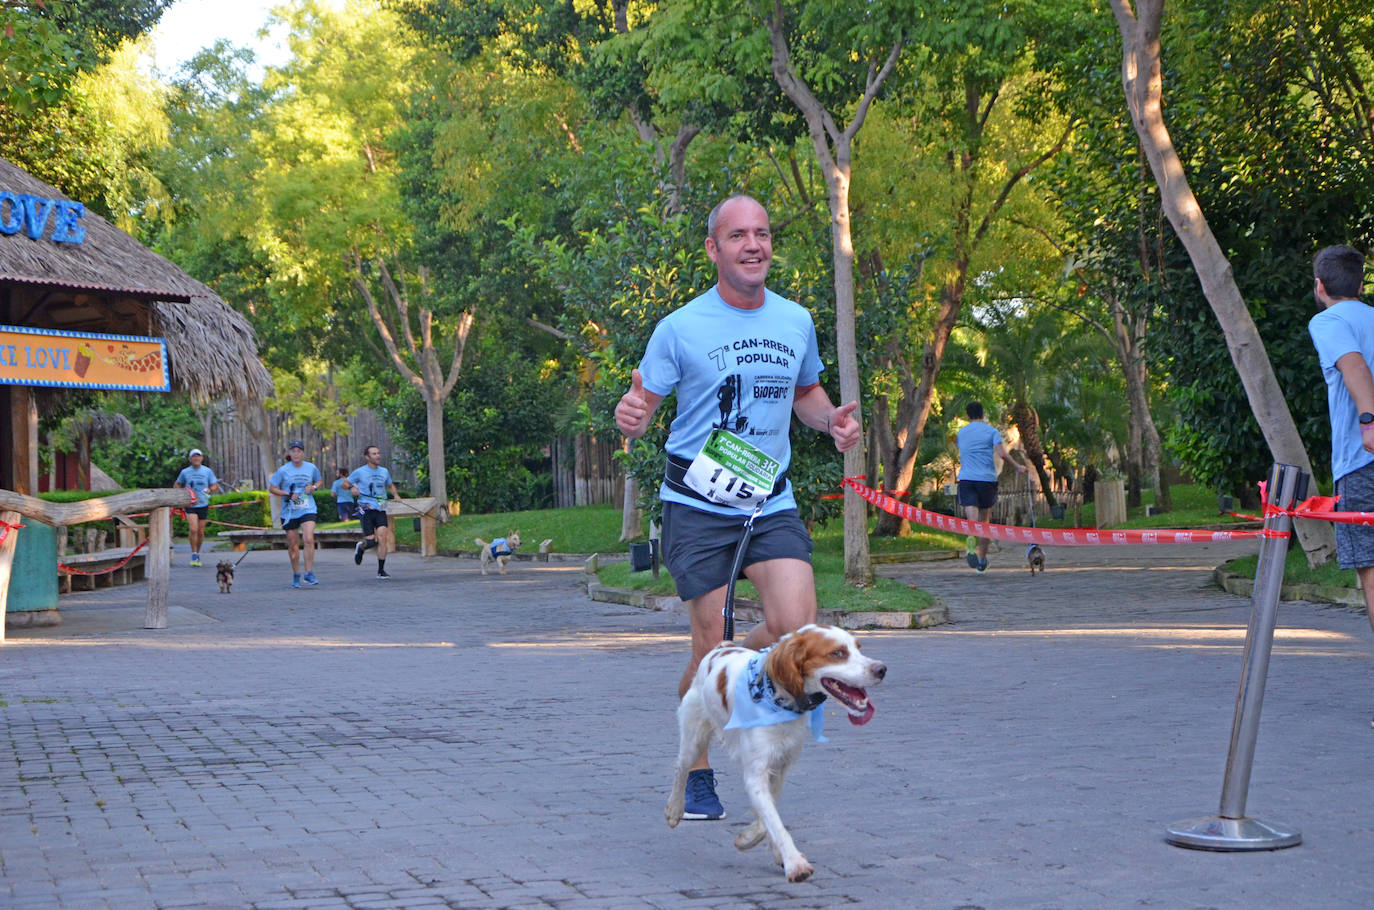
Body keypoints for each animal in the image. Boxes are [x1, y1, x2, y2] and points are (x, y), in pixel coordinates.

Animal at [667, 626, 884, 885]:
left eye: (858, 648)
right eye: (837, 653)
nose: (881, 669)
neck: (780, 701)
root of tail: (721, 648)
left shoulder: (780, 766)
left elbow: (768, 818)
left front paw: (750, 840)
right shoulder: (756, 773)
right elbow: (774, 821)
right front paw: (795, 864)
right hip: (694, 737)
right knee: (681, 769)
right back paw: (674, 810)